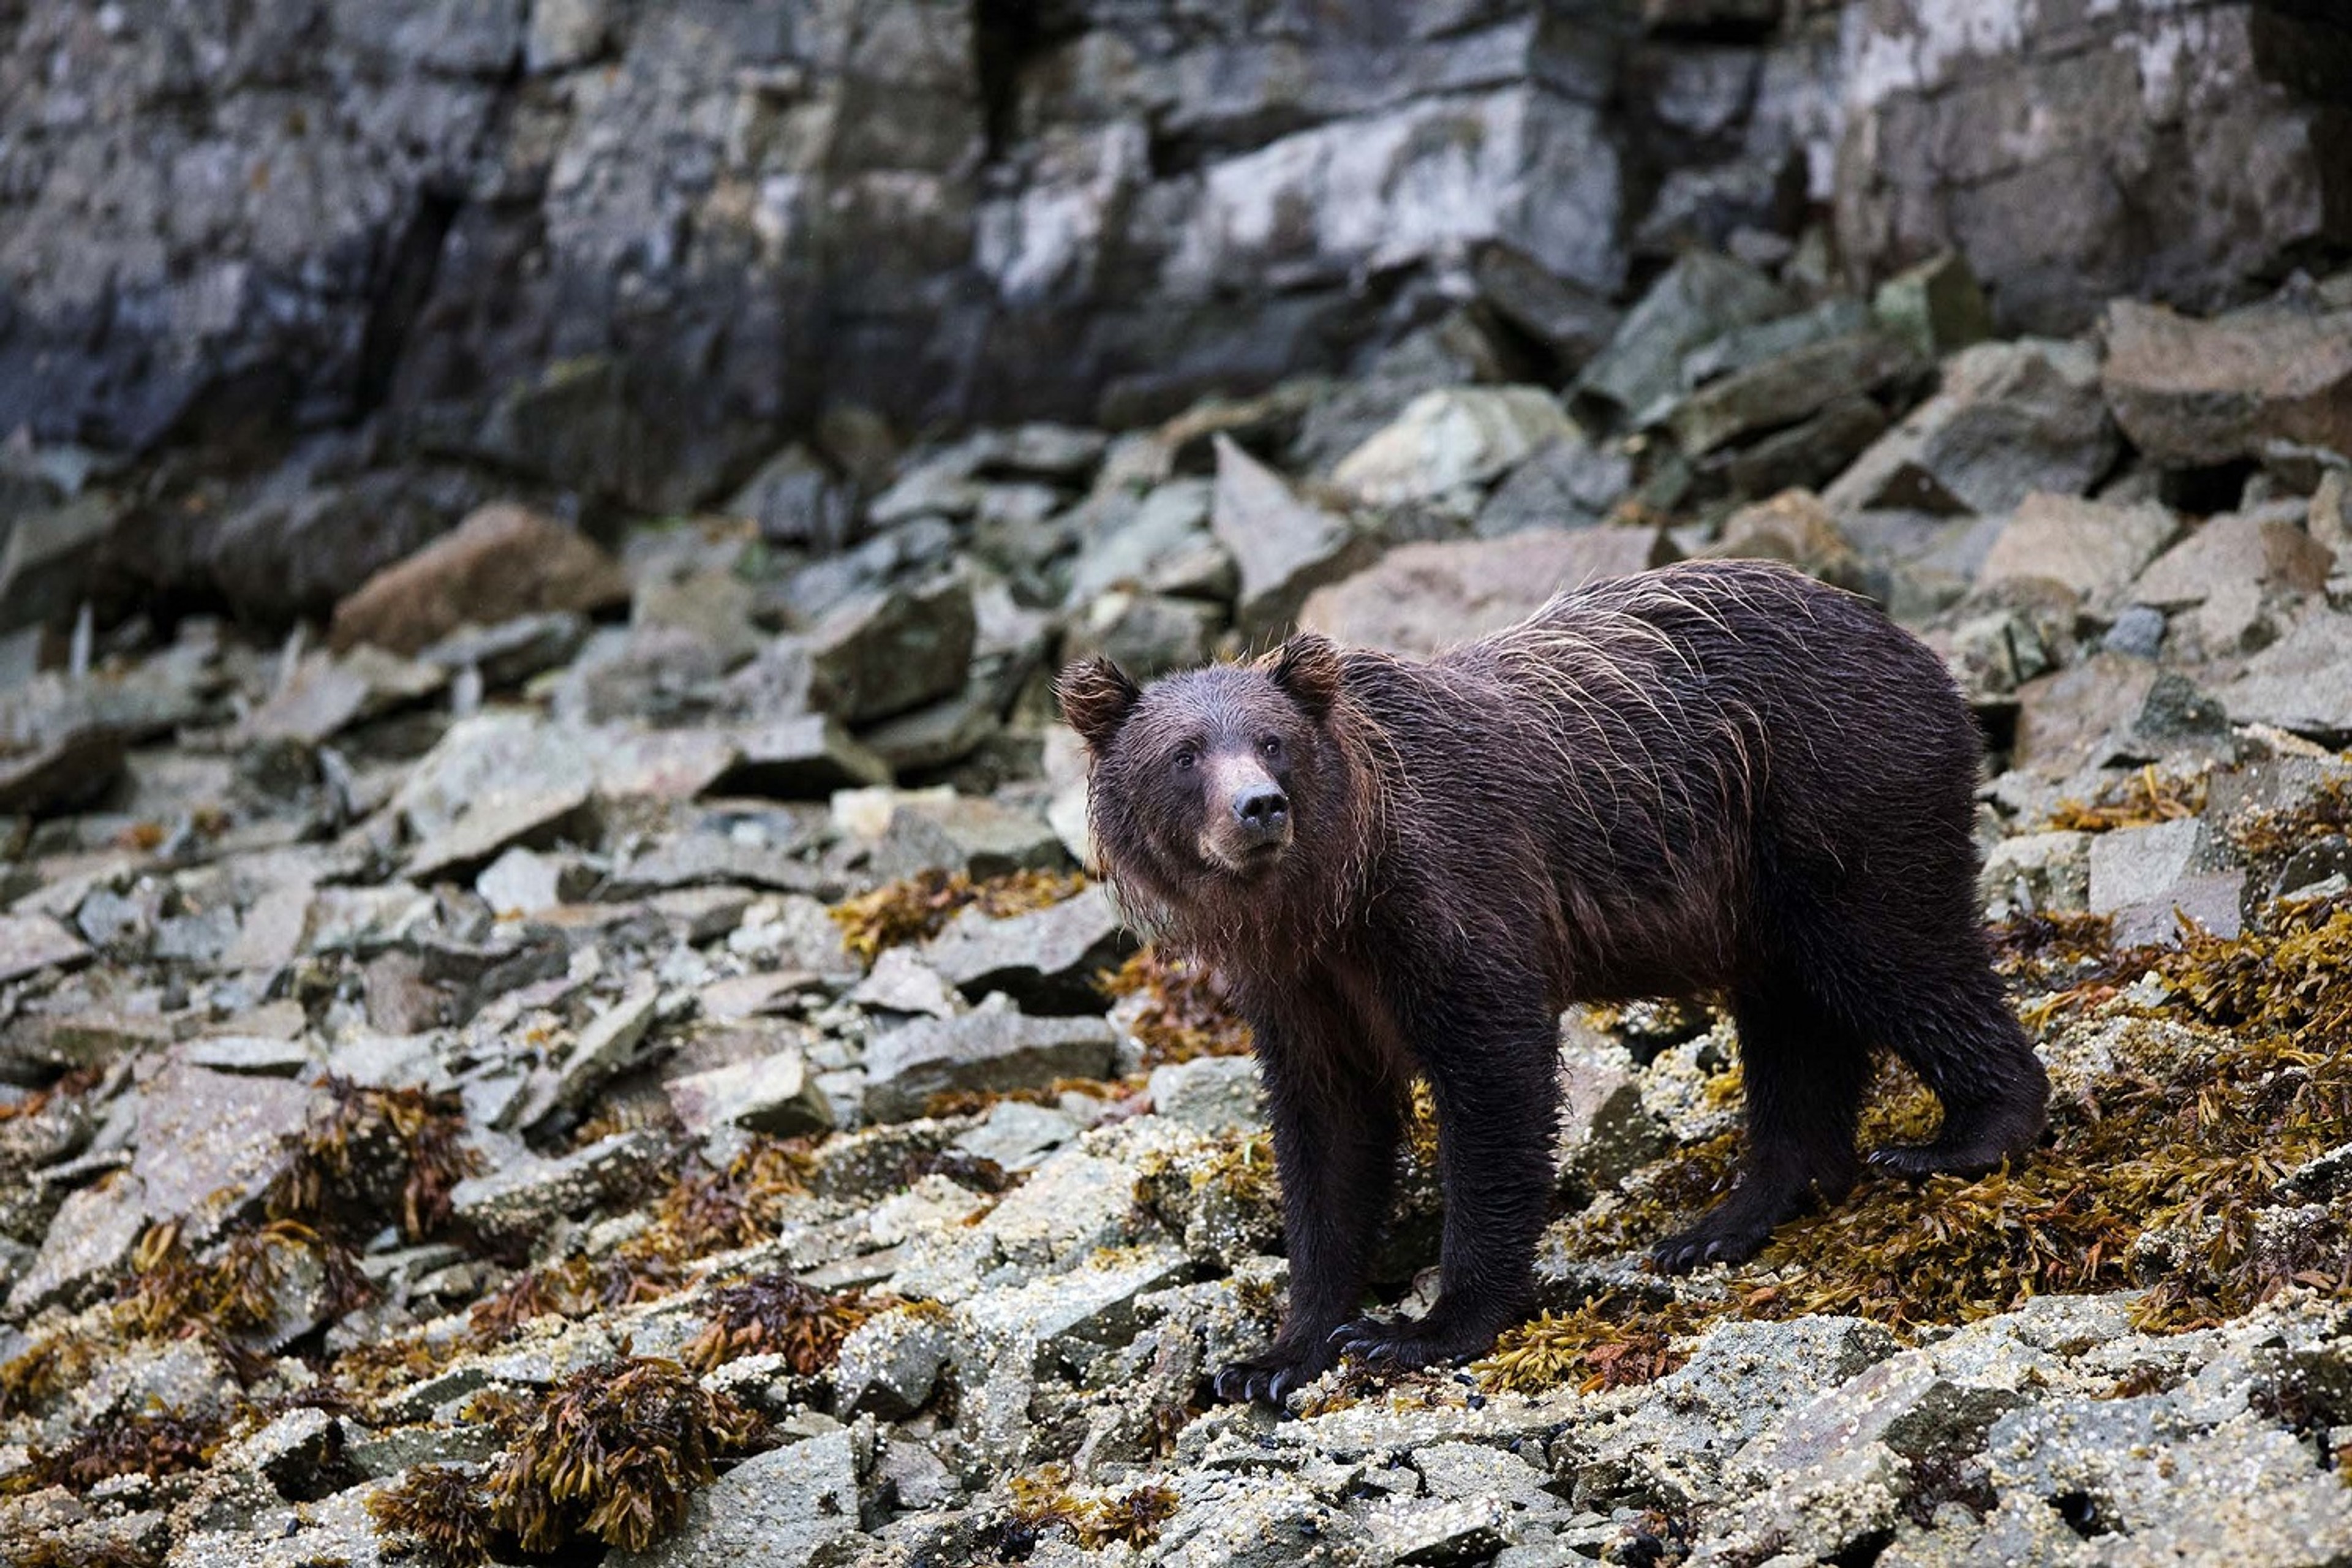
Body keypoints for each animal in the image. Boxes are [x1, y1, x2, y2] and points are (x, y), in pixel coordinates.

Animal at [1056, 557, 2049, 1405]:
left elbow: (1494, 1079)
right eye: (1186, 752)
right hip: (1758, 893)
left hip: (1834, 798)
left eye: (1272, 740)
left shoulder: (1450, 893)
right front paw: (1274, 1356)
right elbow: (1327, 1135)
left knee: (1898, 951)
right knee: (1794, 1024)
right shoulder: (1299, 985)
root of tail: (1912, 644)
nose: (1259, 807)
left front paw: (1420, 1328)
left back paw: (1963, 1137)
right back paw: (1726, 1220)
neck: (1329, 896)